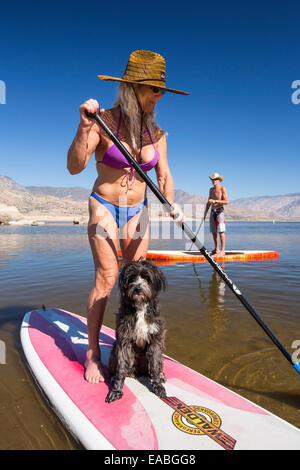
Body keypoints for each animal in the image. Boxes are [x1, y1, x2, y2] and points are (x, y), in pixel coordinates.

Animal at [105, 258, 166, 402]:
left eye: (147, 277)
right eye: (131, 278)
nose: (138, 288)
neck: (140, 306)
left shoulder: (155, 340)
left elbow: (155, 365)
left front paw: (158, 386)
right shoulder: (124, 340)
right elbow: (121, 368)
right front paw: (116, 390)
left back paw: (161, 375)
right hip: (114, 352)